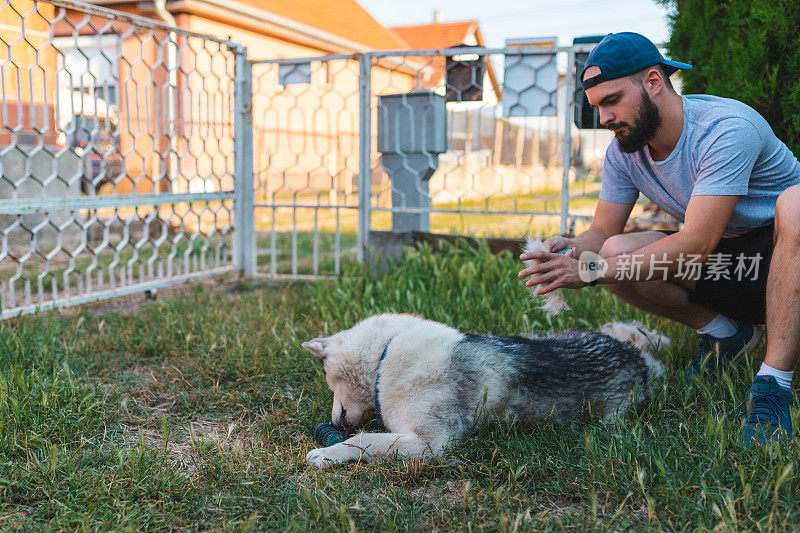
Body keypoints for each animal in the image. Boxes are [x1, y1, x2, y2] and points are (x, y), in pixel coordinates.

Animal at [302, 312, 668, 466]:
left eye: (328, 379)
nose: (332, 424)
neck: (386, 352)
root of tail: (637, 356)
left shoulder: (432, 443)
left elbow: (364, 441)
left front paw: (328, 454)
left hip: (612, 417)